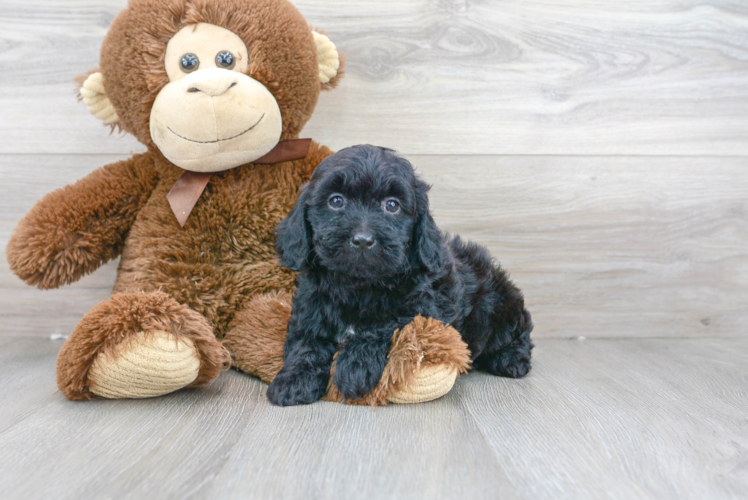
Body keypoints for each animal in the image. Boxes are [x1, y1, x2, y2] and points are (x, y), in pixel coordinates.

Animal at [268, 145, 532, 406]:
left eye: (392, 205)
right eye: (336, 201)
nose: (362, 240)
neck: (359, 285)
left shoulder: (425, 311)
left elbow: (387, 324)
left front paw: (355, 365)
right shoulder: (311, 306)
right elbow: (307, 341)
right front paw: (294, 379)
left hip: (497, 304)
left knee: (518, 332)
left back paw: (511, 360)